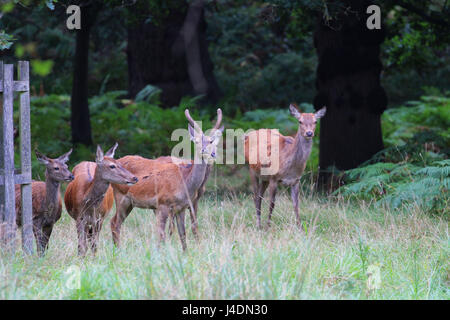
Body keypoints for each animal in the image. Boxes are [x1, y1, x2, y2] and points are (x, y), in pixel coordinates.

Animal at [110, 109, 223, 251]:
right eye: (196, 141)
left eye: (211, 141)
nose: (207, 152)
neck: (185, 182)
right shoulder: (162, 204)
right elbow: (162, 234)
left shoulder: (182, 207)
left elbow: (182, 233)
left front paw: (186, 253)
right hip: (121, 196)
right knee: (114, 222)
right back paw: (118, 249)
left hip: (130, 203)